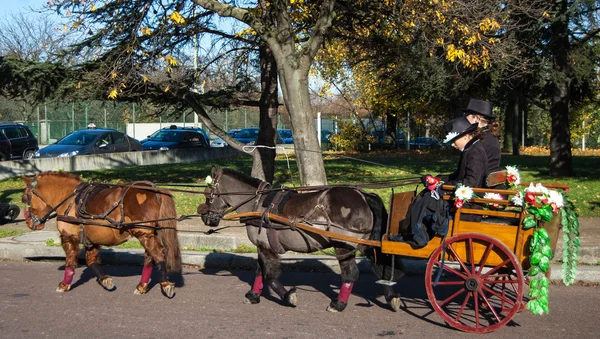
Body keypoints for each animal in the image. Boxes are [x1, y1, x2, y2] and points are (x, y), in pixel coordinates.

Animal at [21, 171, 182, 298]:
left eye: (26, 196)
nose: (29, 222)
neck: (69, 198)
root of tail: (155, 190)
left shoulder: (69, 236)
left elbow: (71, 261)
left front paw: (64, 285)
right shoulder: (90, 240)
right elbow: (91, 261)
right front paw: (105, 279)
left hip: (143, 232)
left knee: (159, 254)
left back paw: (165, 284)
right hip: (148, 233)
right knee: (150, 257)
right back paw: (142, 286)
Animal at [199, 167, 400, 314]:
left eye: (208, 195)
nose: (207, 218)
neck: (257, 203)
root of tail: (364, 195)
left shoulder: (265, 247)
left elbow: (269, 275)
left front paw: (288, 296)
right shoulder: (263, 247)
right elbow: (259, 272)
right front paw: (253, 295)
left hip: (343, 246)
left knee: (350, 274)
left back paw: (338, 304)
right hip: (365, 243)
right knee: (382, 269)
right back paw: (392, 298)